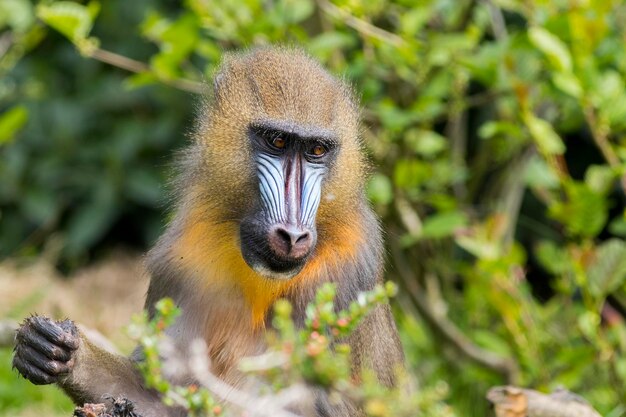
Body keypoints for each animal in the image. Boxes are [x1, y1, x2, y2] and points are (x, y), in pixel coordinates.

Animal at [12, 47, 402, 414]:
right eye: (276, 141)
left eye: (317, 150)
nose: (292, 236)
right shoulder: (184, 260)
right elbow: (161, 390)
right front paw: (54, 351)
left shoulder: (343, 277)